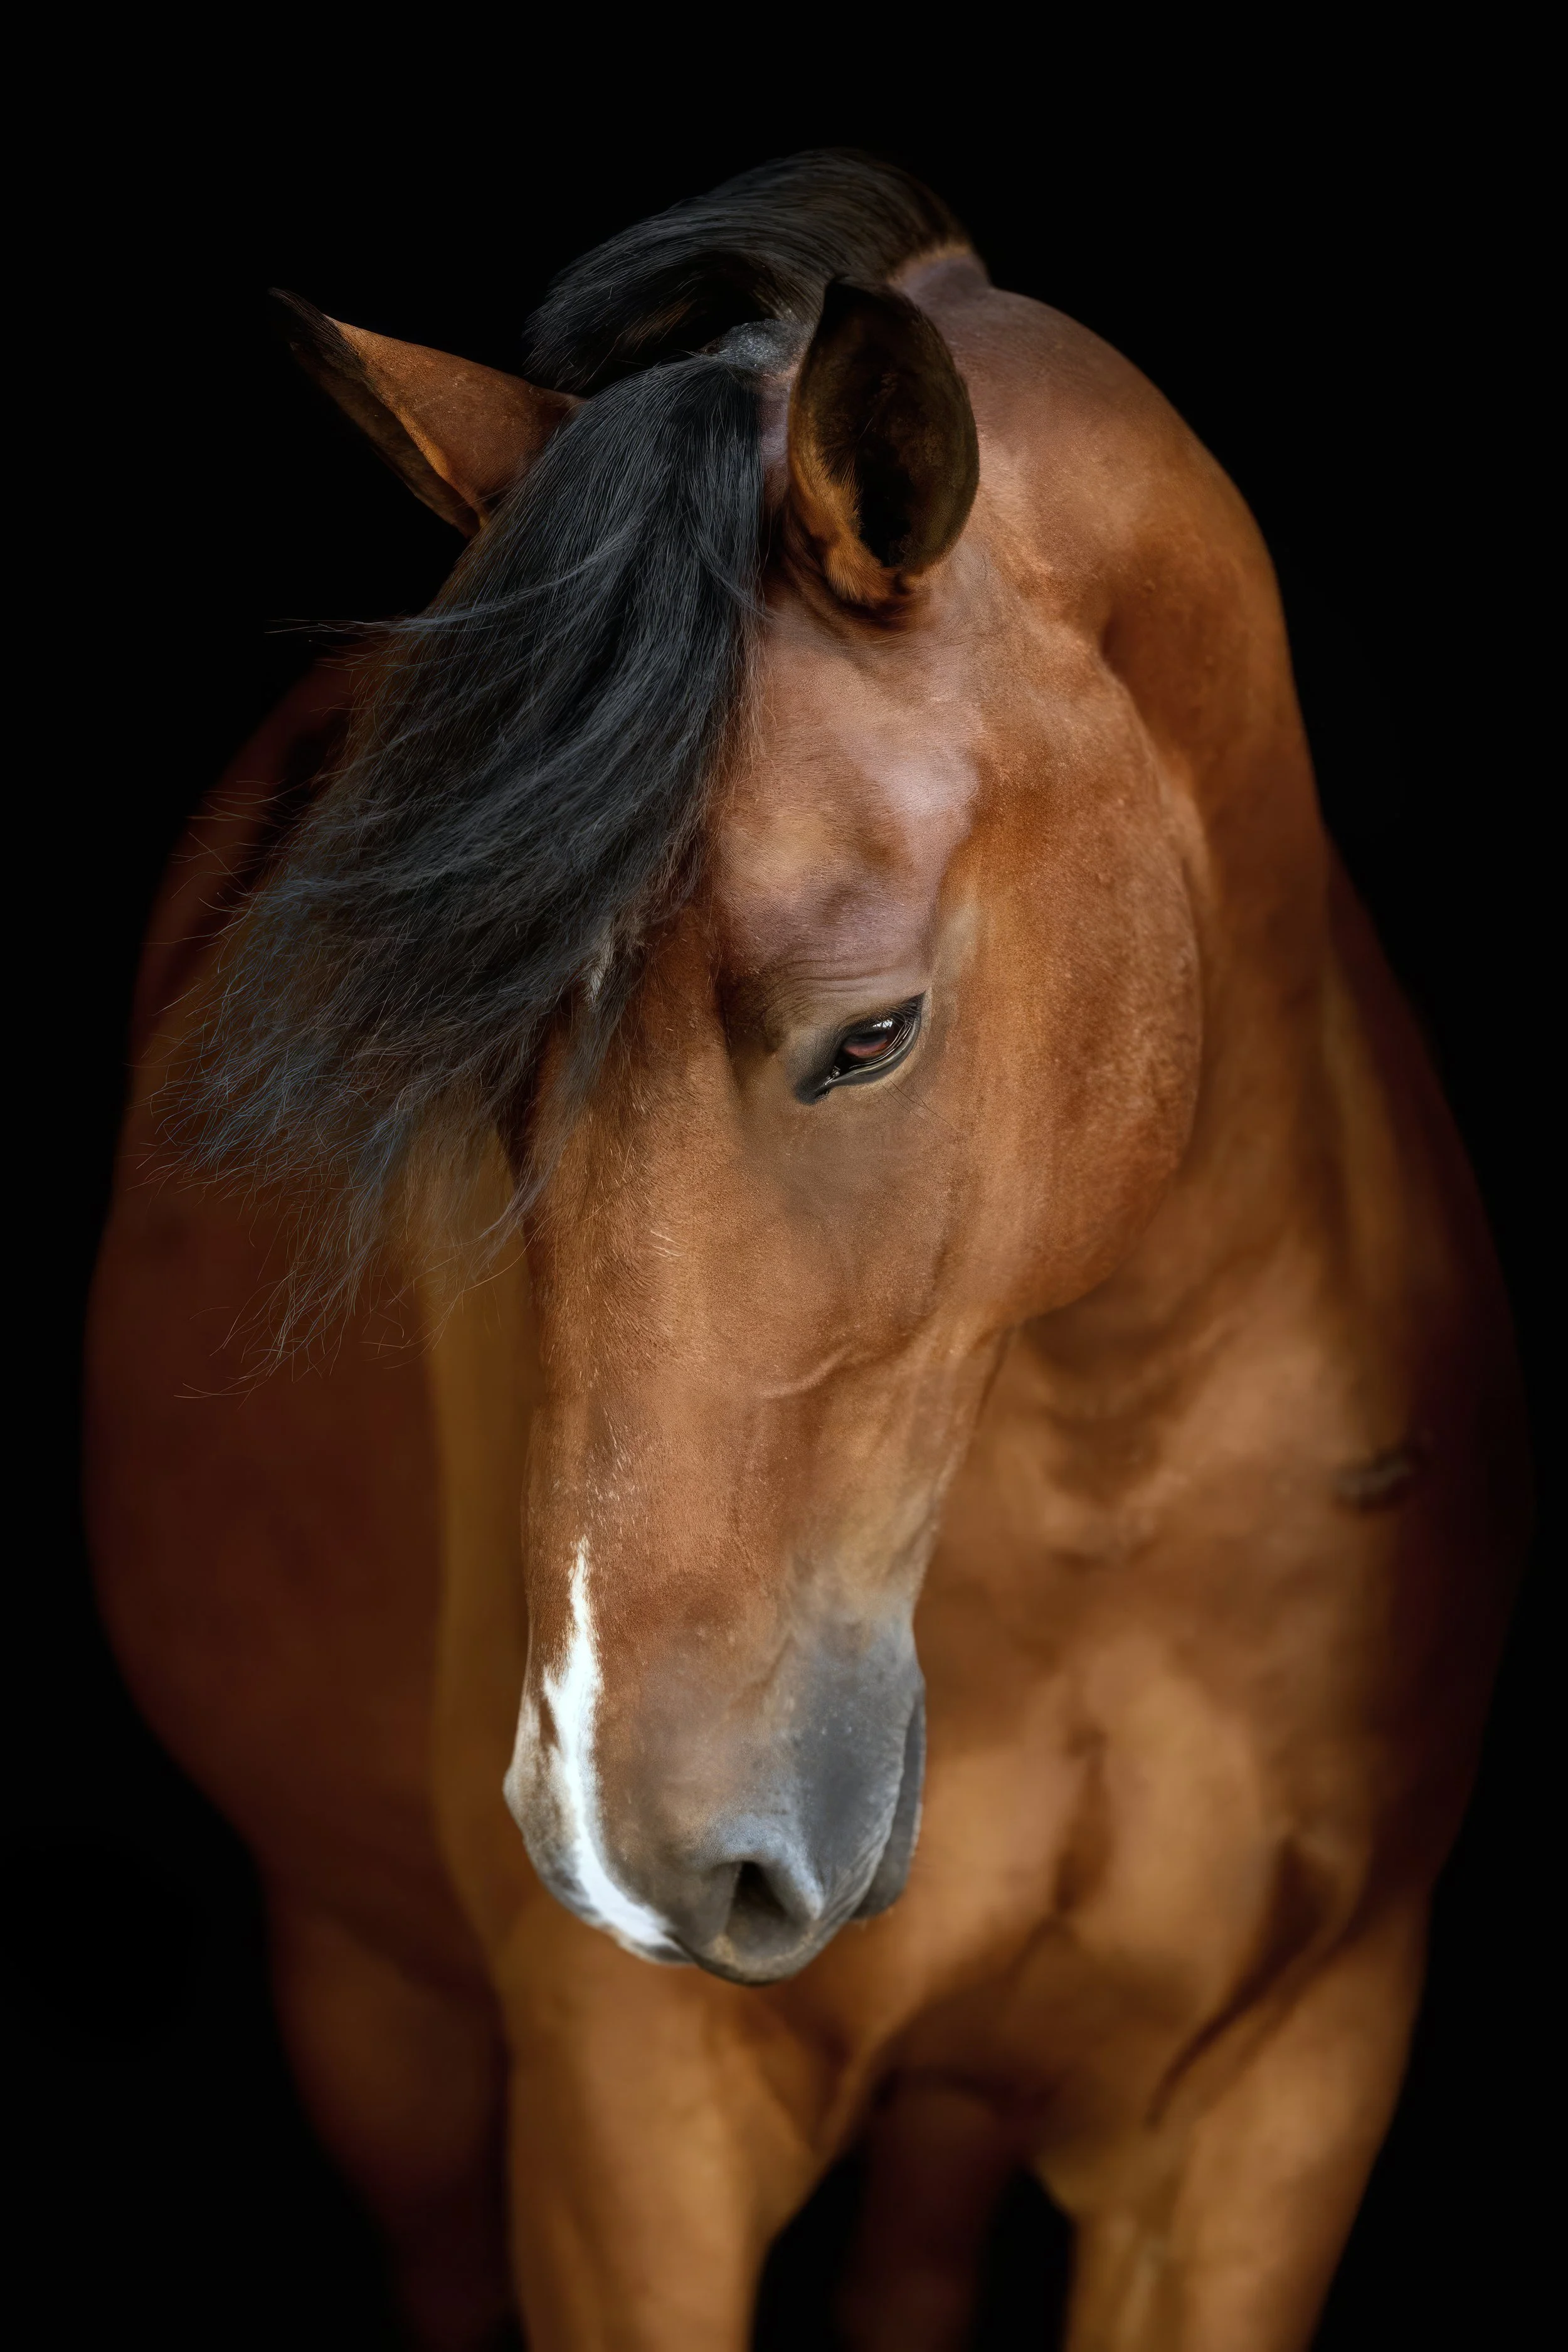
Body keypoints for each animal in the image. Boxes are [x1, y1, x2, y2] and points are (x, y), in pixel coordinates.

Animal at [86, 152, 1526, 2351]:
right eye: (479, 1065)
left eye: (870, 1033)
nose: (624, 1855)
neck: (1116, 1483)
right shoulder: (632, 2130)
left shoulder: (1272, 2107)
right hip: (376, 2014)